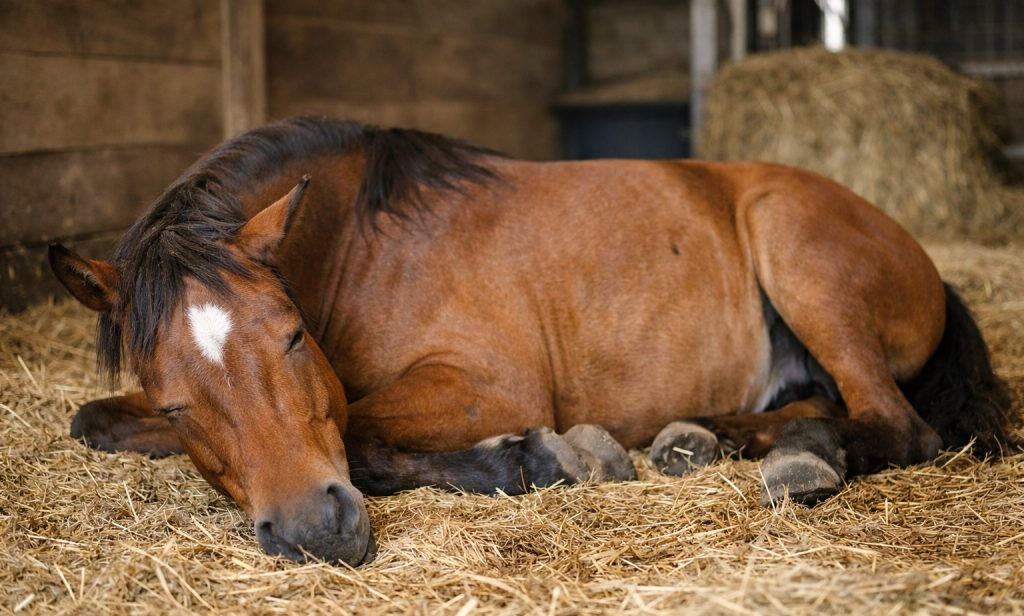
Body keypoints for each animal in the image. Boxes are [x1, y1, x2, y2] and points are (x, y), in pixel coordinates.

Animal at [48, 117, 1012, 566]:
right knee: (825, 405)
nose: (316, 531)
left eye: (291, 337)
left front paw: (534, 459)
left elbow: (361, 430)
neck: (368, 243)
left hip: (798, 253)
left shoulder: (493, 385)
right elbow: (92, 421)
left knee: (898, 426)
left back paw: (796, 462)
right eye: (178, 405)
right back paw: (723, 438)